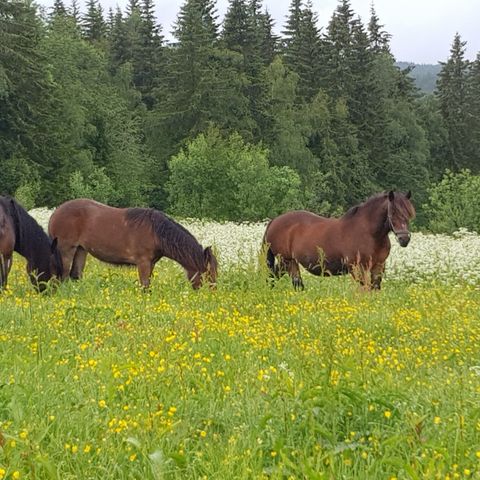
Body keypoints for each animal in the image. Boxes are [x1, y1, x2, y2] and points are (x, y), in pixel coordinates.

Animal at [47, 199, 218, 288]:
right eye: (209, 273)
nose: (212, 295)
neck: (156, 232)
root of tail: (55, 213)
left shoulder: (151, 263)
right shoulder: (143, 263)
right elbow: (144, 286)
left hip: (81, 250)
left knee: (74, 275)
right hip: (66, 250)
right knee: (62, 276)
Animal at [264, 190, 414, 288]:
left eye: (408, 213)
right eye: (393, 212)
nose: (404, 239)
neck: (369, 233)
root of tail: (274, 221)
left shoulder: (378, 266)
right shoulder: (357, 268)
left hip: (287, 262)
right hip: (287, 261)